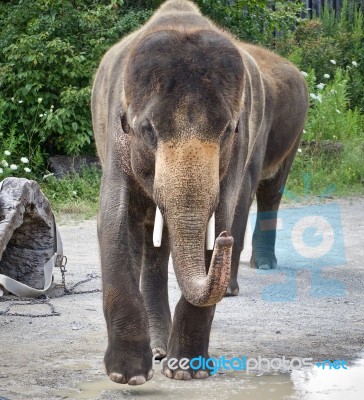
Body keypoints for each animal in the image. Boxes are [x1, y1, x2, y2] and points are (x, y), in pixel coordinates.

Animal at [91, 0, 308, 388]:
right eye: (147, 130)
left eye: (227, 130)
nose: (225, 242)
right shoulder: (116, 142)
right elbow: (114, 221)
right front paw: (128, 375)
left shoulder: (243, 140)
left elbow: (223, 213)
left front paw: (185, 371)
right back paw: (157, 349)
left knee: (270, 191)